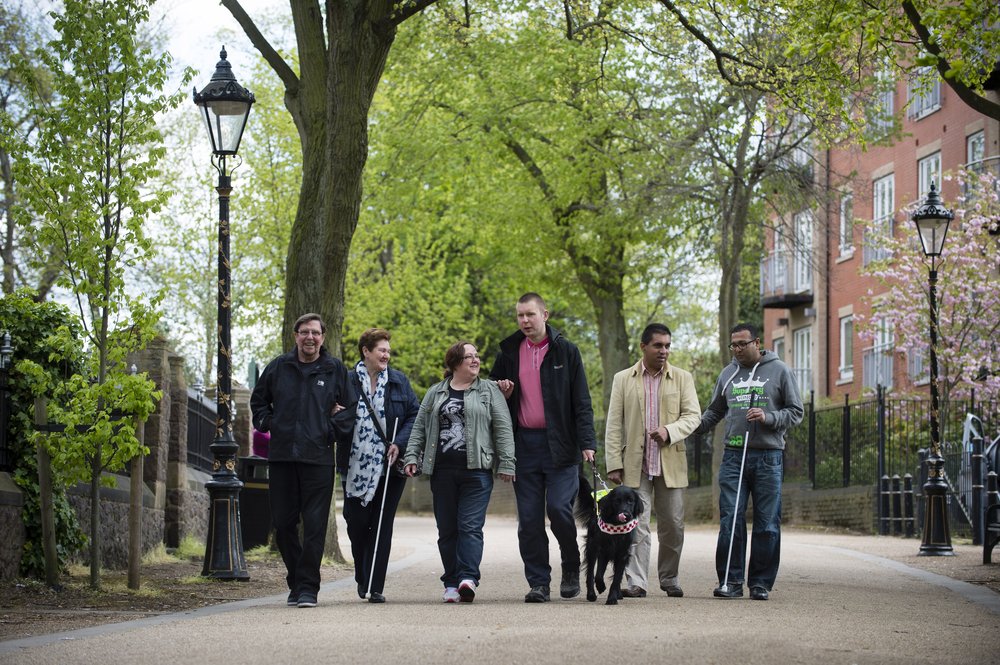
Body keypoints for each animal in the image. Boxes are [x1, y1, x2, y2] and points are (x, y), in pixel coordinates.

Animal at [580, 474, 640, 604]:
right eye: (617, 501)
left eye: (630, 501)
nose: (626, 514)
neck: (616, 528)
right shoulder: (603, 550)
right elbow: (598, 574)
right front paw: (600, 586)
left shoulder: (622, 554)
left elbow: (616, 578)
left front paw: (612, 597)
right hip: (592, 548)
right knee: (591, 572)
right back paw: (591, 594)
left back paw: (618, 594)